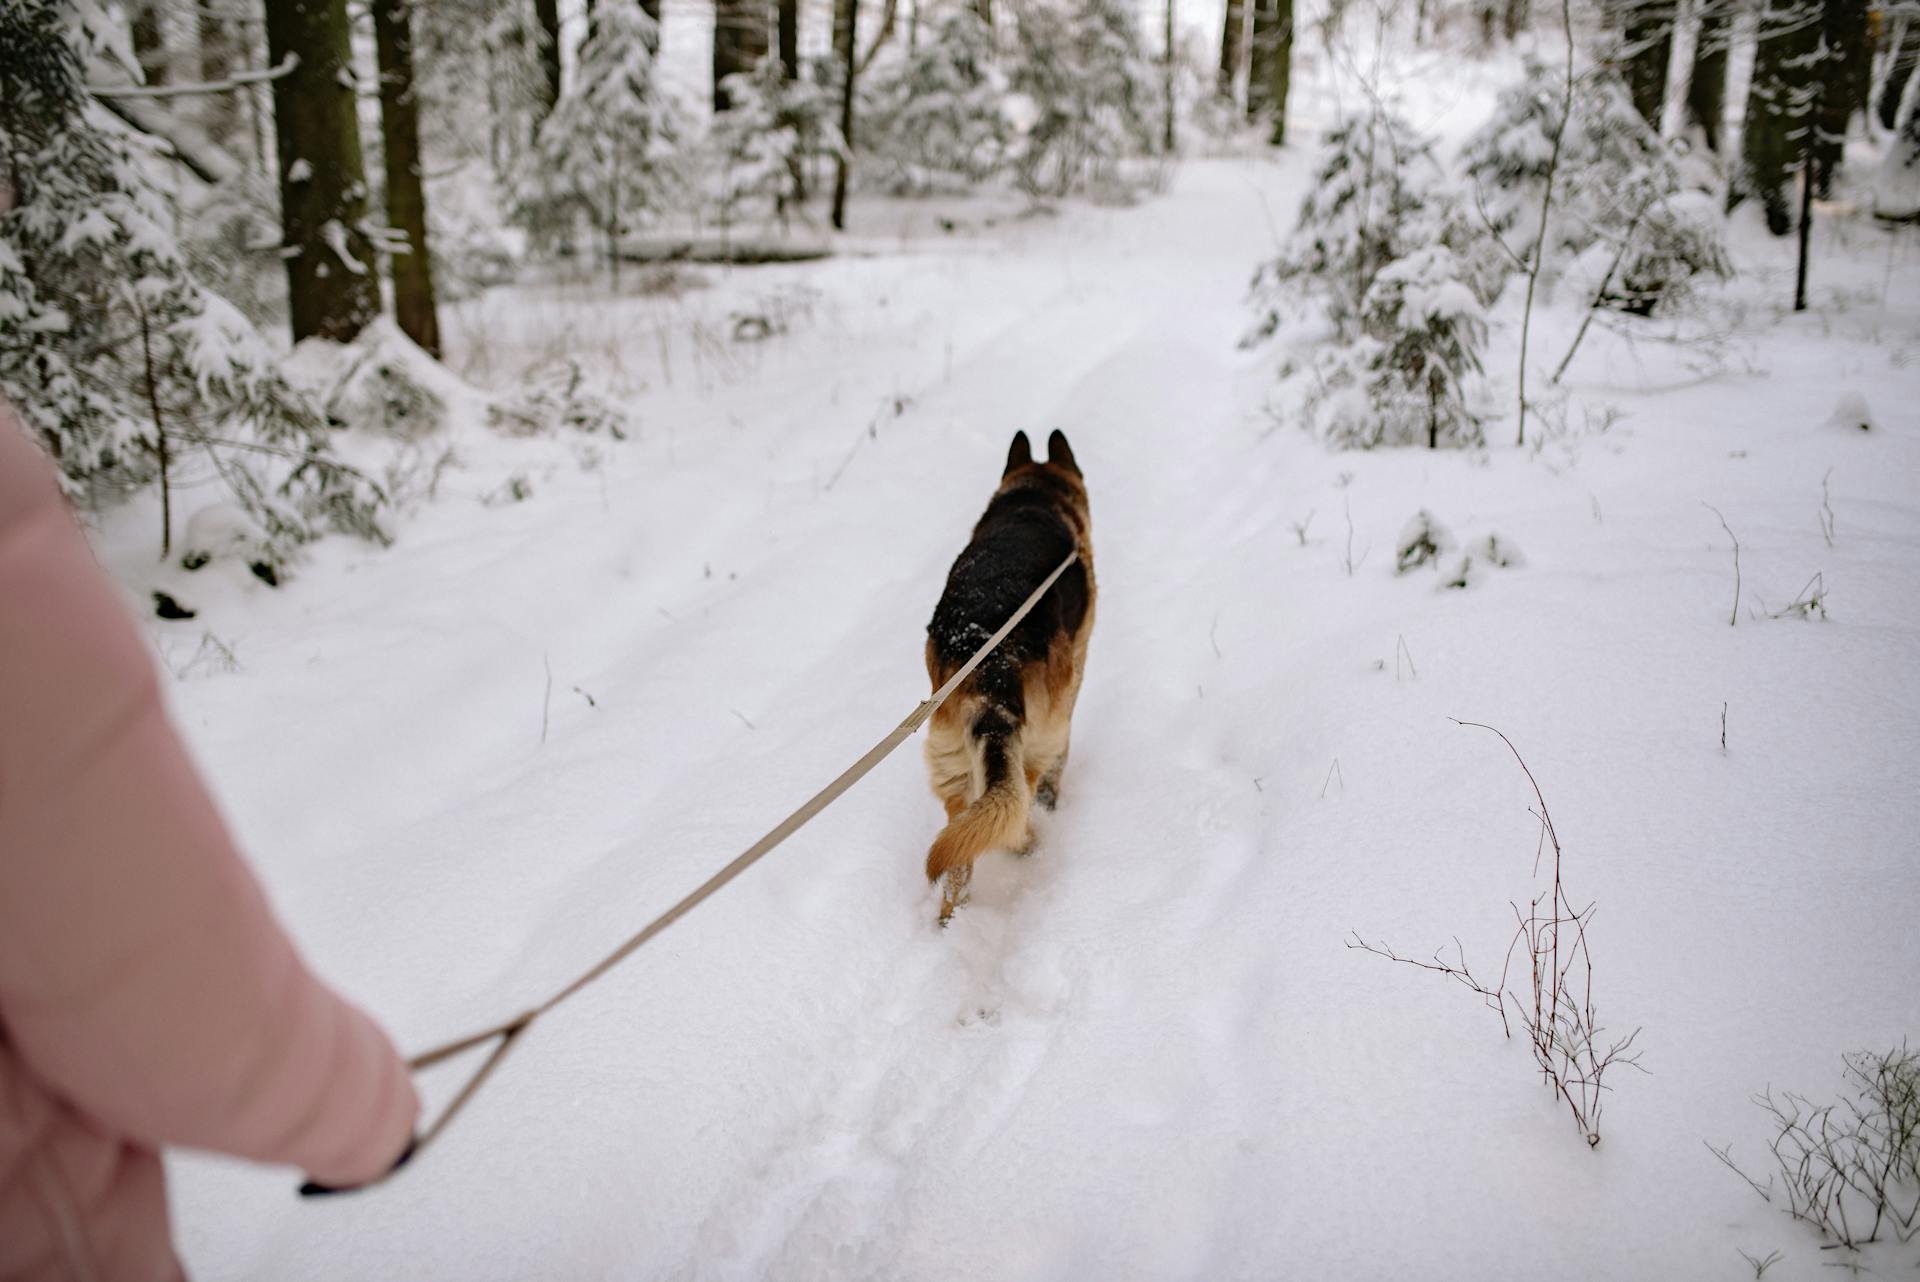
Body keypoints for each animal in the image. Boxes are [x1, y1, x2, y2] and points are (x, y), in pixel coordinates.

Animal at [925, 429, 1098, 921]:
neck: (1033, 494)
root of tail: (988, 659)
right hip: (1036, 741)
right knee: (1020, 810)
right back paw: (1034, 842)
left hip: (956, 773)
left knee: (960, 859)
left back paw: (950, 923)